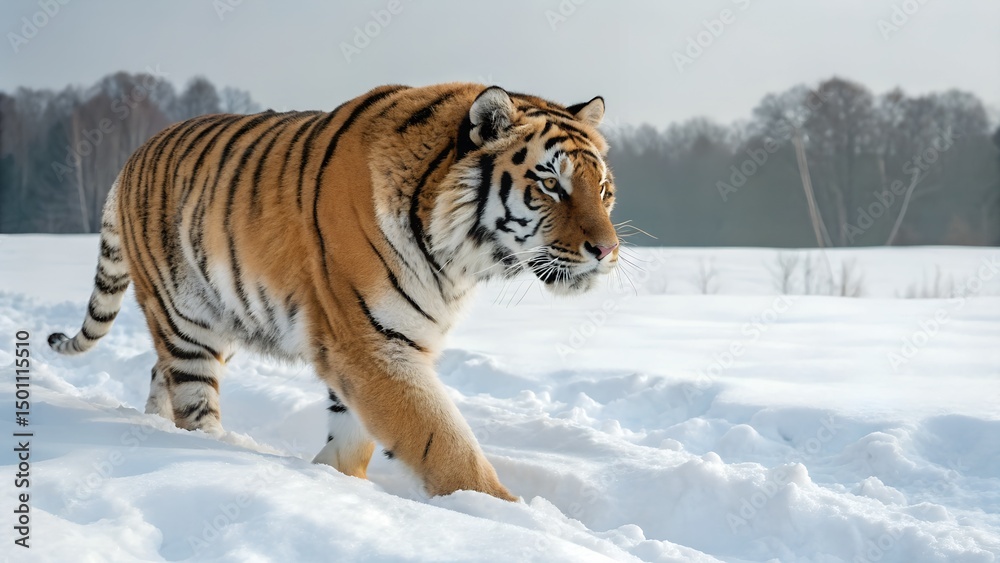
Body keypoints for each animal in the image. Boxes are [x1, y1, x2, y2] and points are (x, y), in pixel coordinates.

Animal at [47, 83, 620, 501]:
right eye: (551, 185)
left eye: (603, 189)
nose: (608, 250)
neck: (459, 261)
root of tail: (130, 158)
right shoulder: (370, 342)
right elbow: (443, 440)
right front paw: (506, 513)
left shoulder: (382, 342)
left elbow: (356, 432)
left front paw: (337, 480)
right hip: (185, 317)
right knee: (192, 398)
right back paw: (215, 450)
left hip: (221, 311)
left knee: (158, 373)